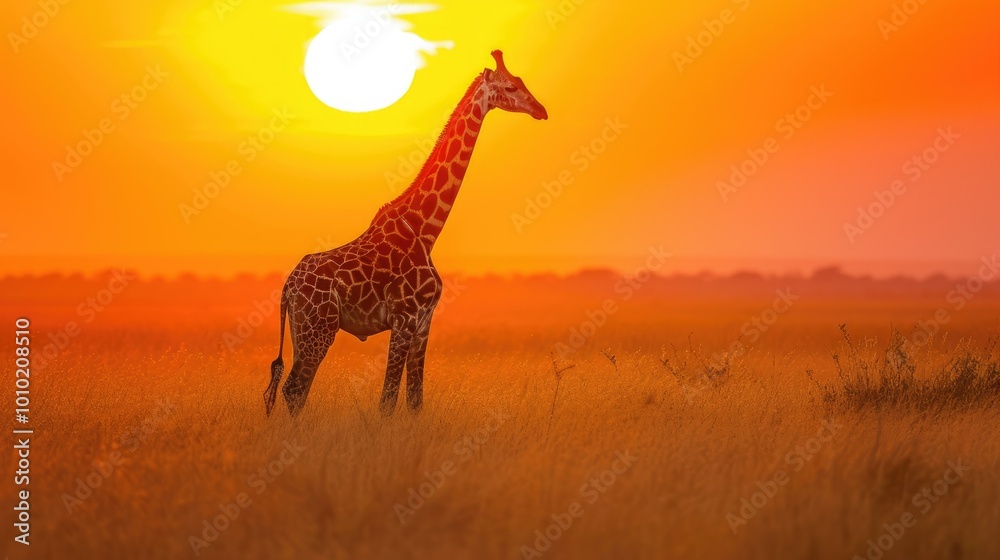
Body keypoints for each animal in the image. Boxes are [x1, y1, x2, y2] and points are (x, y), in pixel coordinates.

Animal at [265, 50, 547, 416]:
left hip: (303, 330)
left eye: (522, 81)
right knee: (295, 388)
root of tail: (287, 289)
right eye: (510, 86)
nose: (541, 110)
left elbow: (415, 399)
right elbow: (387, 399)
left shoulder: (425, 320)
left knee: (293, 388)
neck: (426, 229)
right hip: (319, 328)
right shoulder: (404, 317)